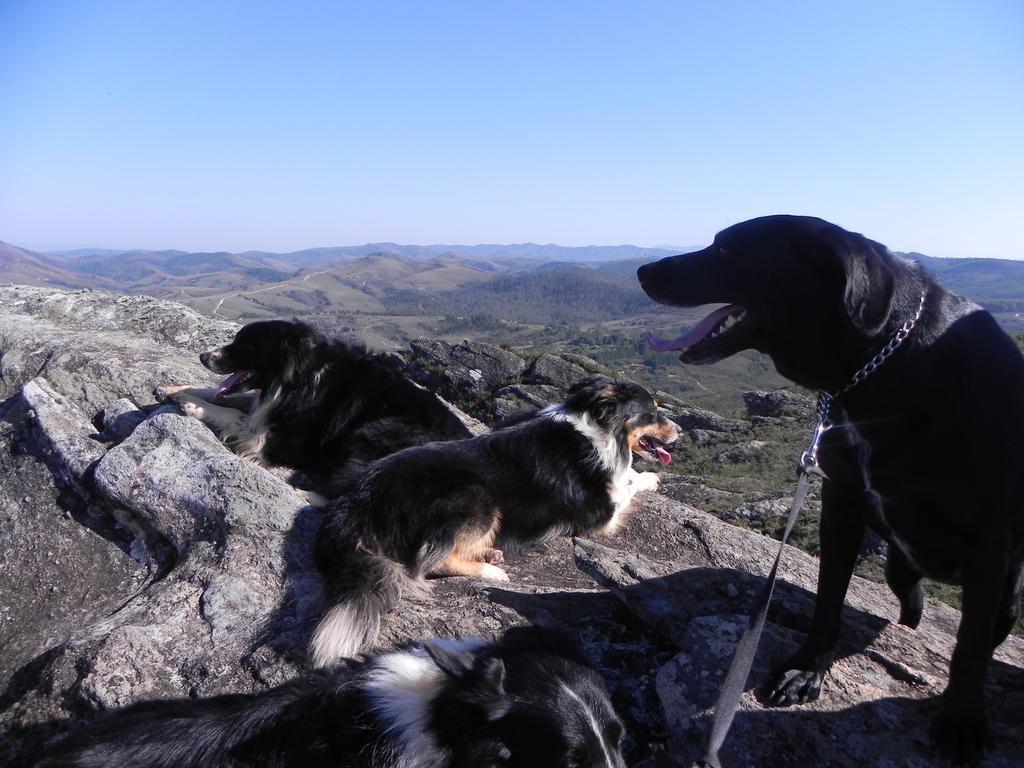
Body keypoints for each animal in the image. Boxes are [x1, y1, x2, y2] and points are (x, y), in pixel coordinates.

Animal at [155, 319, 471, 495]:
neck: (300, 374)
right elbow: (223, 396)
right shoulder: (270, 402)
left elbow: (233, 414)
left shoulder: (282, 441)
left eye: (244, 345)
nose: (202, 356)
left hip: (377, 431)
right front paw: (172, 390)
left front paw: (190, 405)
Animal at [311, 376, 679, 667]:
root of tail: (358, 502)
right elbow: (628, 482)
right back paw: (491, 570)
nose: (680, 431)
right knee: (431, 562)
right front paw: (649, 479)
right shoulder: (600, 514)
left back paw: (490, 553)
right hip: (475, 496)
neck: (598, 426)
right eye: (651, 411)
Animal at [638, 214, 1024, 765]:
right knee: (907, 591)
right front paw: (807, 670)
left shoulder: (987, 540)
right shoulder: (841, 505)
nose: (643, 271)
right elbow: (827, 602)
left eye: (726, 249)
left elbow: (969, 645)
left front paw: (962, 718)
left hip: (1008, 585)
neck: (888, 365)